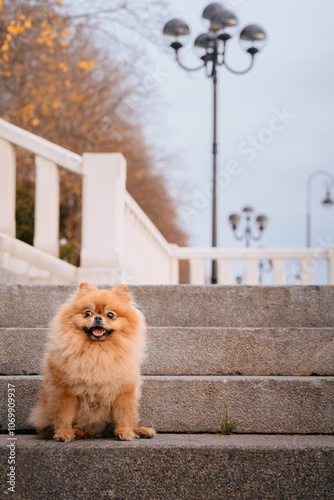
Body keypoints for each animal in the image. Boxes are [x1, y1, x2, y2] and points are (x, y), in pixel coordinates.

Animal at [28, 282, 155, 442]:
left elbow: (123, 416)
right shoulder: (66, 391)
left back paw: (141, 431)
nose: (98, 318)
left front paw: (125, 433)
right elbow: (64, 416)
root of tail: (98, 433)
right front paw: (64, 434)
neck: (97, 351)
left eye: (110, 315)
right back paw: (77, 432)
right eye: (87, 313)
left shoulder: (123, 392)